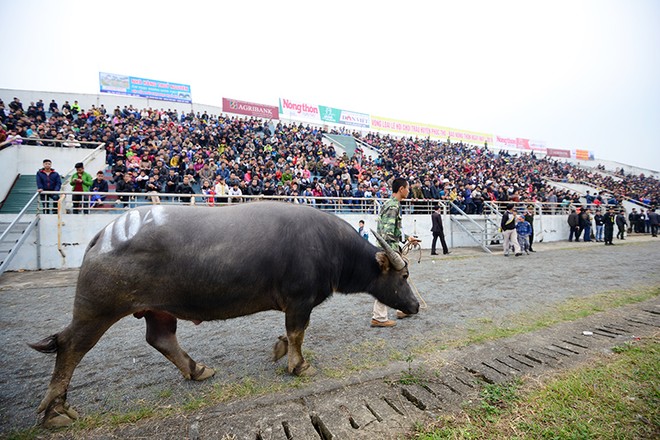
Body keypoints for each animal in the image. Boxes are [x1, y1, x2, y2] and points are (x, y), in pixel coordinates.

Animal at [29, 202, 418, 426]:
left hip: (158, 308)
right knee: (71, 346)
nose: (414, 306)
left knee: (160, 337)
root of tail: (103, 234)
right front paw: (298, 364)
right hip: (97, 309)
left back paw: (197, 369)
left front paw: (279, 349)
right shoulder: (299, 300)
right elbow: (298, 332)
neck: (328, 245)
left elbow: (289, 333)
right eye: (404, 277)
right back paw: (55, 410)